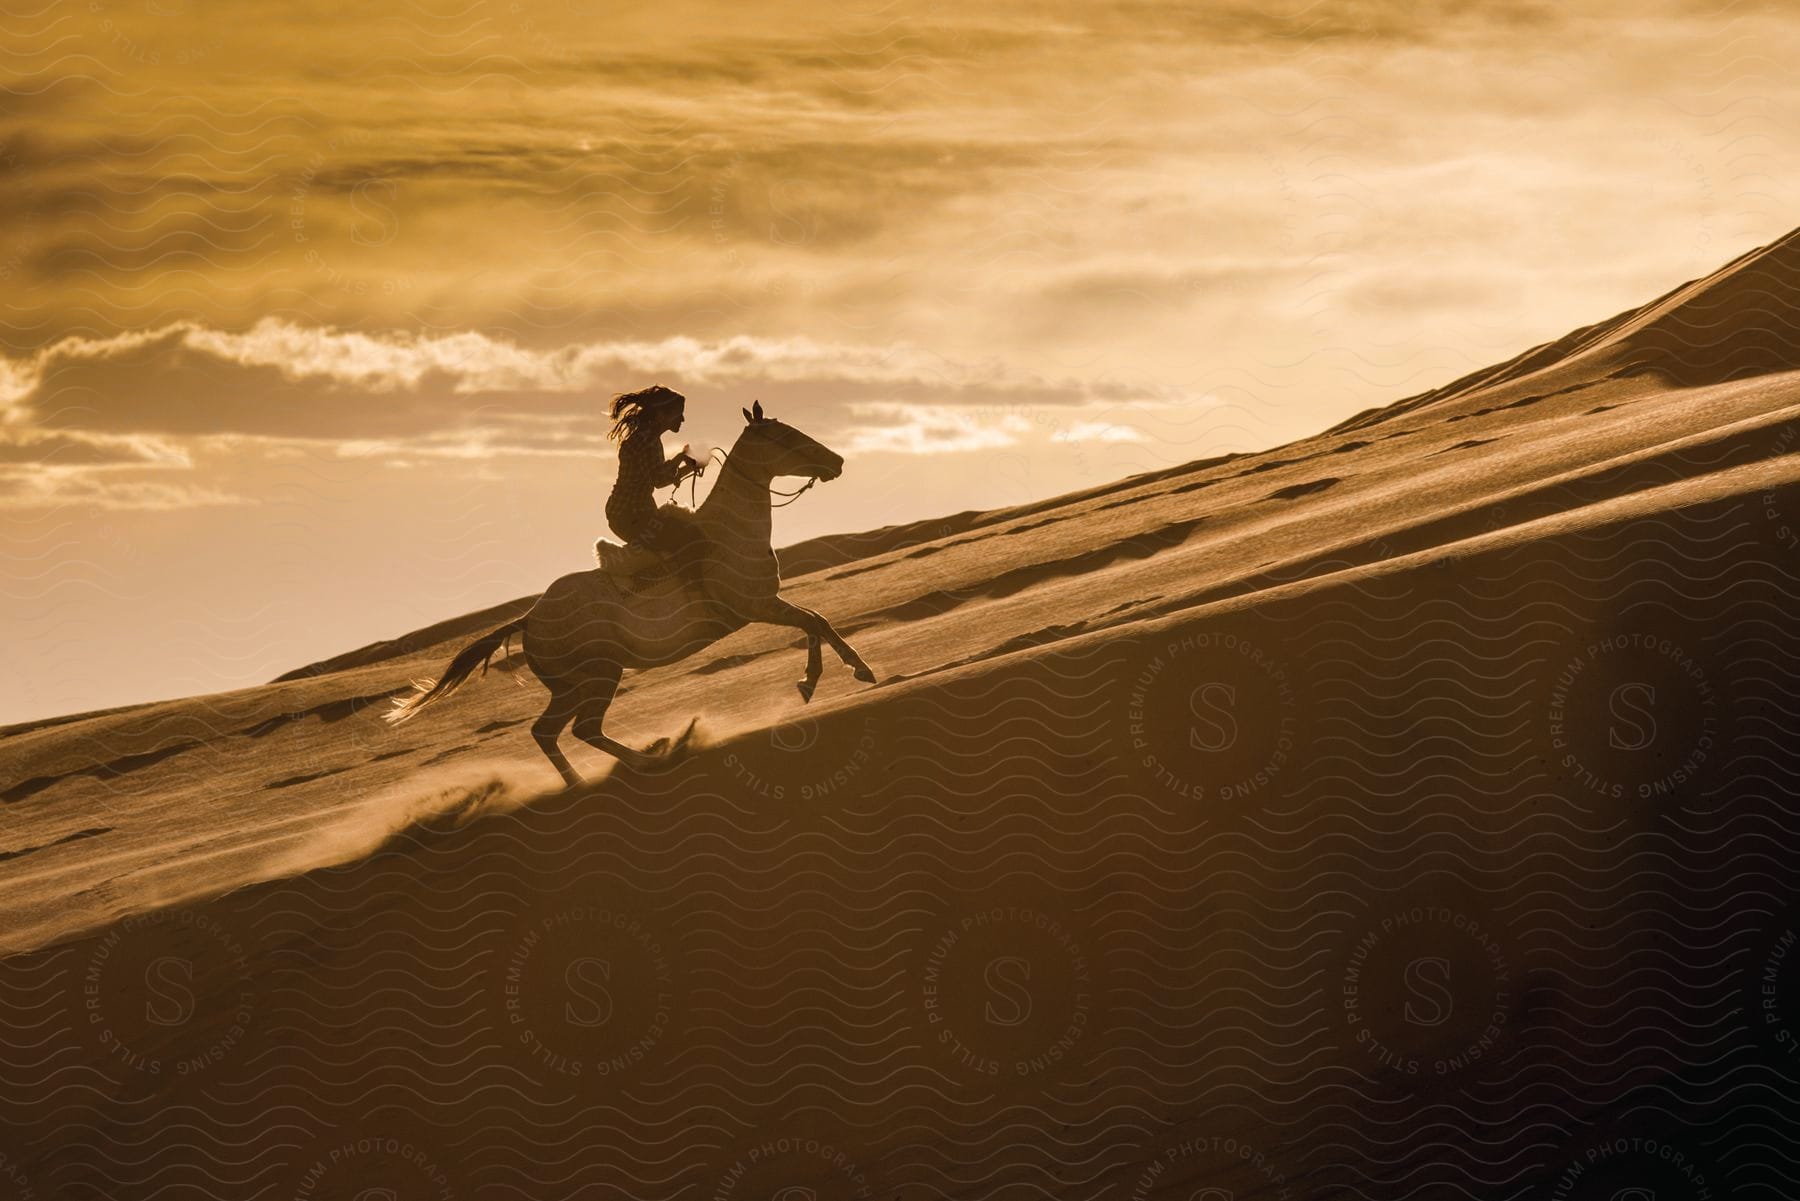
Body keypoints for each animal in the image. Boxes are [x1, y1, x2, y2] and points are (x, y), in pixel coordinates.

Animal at [383, 399, 874, 785]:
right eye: (786, 435)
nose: (837, 462)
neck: (731, 529)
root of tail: (529, 620)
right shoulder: (757, 605)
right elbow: (814, 620)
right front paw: (852, 672)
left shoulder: (767, 604)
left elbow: (814, 622)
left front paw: (813, 681)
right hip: (598, 677)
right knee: (577, 730)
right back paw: (646, 758)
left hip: (575, 687)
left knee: (550, 732)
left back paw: (602, 772)